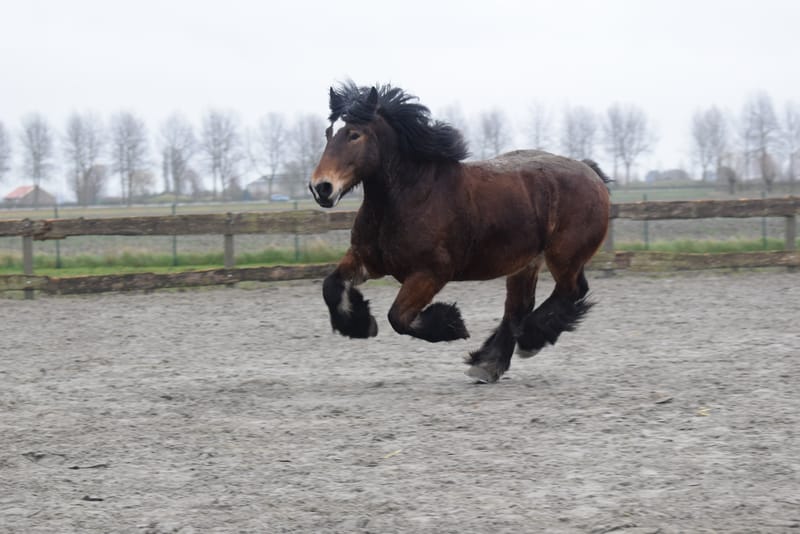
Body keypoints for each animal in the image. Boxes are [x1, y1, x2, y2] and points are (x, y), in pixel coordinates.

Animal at [309, 82, 611, 383]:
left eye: (354, 134)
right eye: (328, 133)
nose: (321, 187)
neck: (409, 197)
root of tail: (590, 172)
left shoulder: (431, 273)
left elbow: (399, 317)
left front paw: (452, 324)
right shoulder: (366, 260)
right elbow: (331, 286)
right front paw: (360, 325)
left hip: (563, 256)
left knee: (570, 291)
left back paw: (529, 339)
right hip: (526, 262)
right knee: (519, 307)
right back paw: (488, 363)